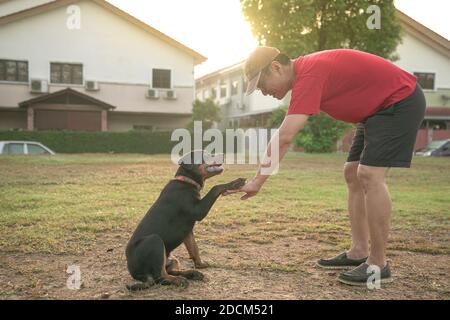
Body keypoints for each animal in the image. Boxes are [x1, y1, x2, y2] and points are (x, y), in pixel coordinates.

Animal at [125, 151, 244, 290]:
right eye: (204, 155)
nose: (223, 154)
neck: (188, 182)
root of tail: (137, 274)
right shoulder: (198, 211)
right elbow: (215, 187)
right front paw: (236, 183)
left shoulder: (188, 232)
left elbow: (194, 248)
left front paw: (200, 265)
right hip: (155, 240)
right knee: (160, 276)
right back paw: (179, 280)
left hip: (171, 258)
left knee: (169, 271)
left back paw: (192, 273)